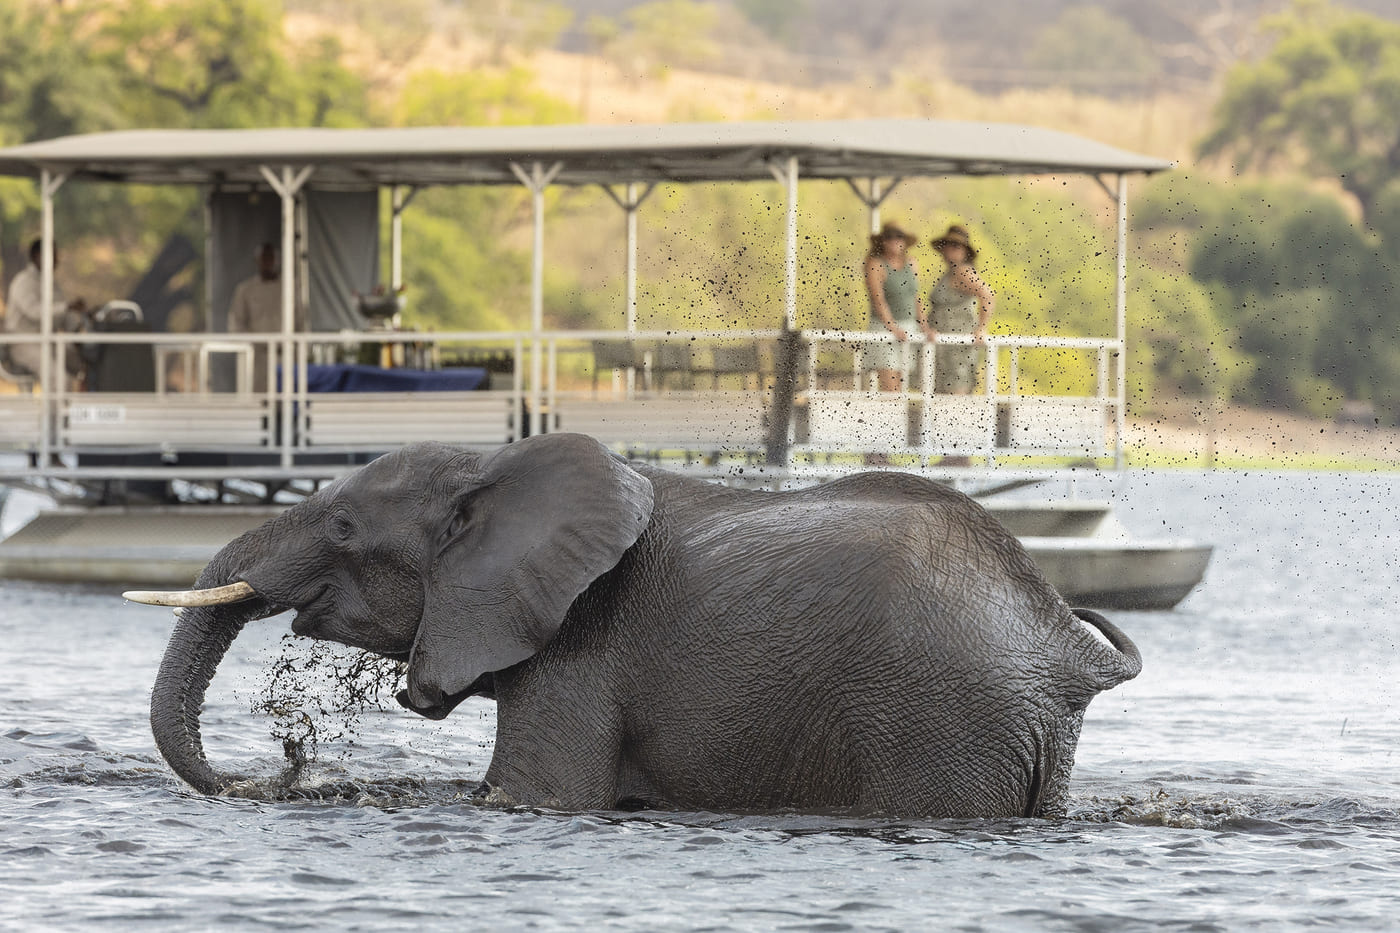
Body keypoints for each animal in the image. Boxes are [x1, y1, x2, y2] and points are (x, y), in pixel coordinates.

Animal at [134, 432, 1141, 818]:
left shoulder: (582, 644)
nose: (287, 763)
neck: (498, 463)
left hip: (942, 721)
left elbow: (533, 792)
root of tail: (1062, 644)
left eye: (342, 523)